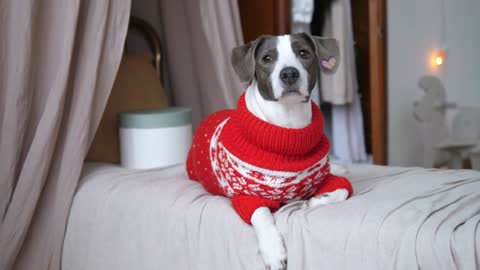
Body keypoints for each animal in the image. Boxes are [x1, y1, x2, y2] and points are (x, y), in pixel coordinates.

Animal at [231, 32, 346, 268]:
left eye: (303, 53)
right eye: (267, 58)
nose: (289, 73)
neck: (288, 123)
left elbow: (342, 190)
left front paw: (316, 201)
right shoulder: (246, 195)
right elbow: (261, 214)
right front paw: (273, 251)